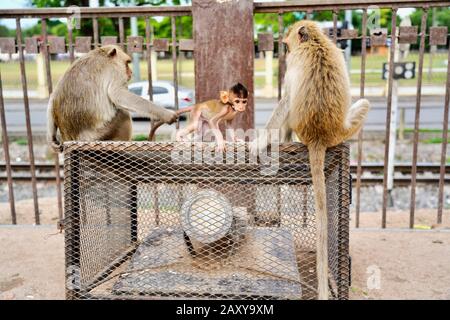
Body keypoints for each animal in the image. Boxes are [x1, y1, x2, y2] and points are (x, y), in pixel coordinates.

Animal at [47, 44, 178, 152]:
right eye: (127, 63)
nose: (130, 72)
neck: (102, 55)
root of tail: (70, 137)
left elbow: (53, 97)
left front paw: (52, 140)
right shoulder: (115, 71)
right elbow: (118, 95)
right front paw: (166, 114)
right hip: (99, 135)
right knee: (123, 114)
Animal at [251, 21, 370, 298]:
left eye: (287, 46)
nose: (285, 49)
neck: (316, 43)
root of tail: (319, 137)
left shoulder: (295, 60)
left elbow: (285, 101)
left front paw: (260, 141)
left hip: (304, 129)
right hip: (344, 130)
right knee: (364, 104)